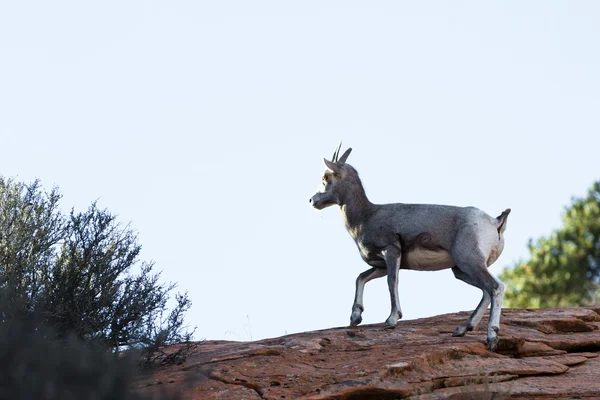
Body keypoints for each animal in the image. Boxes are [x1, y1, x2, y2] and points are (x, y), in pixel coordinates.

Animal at [310, 144, 510, 350]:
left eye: (326, 178)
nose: (312, 200)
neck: (366, 216)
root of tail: (496, 222)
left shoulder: (391, 251)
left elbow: (392, 282)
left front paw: (391, 320)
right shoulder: (381, 265)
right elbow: (361, 278)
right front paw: (355, 318)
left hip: (470, 263)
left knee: (495, 287)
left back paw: (491, 337)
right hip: (461, 270)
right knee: (486, 292)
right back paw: (461, 329)